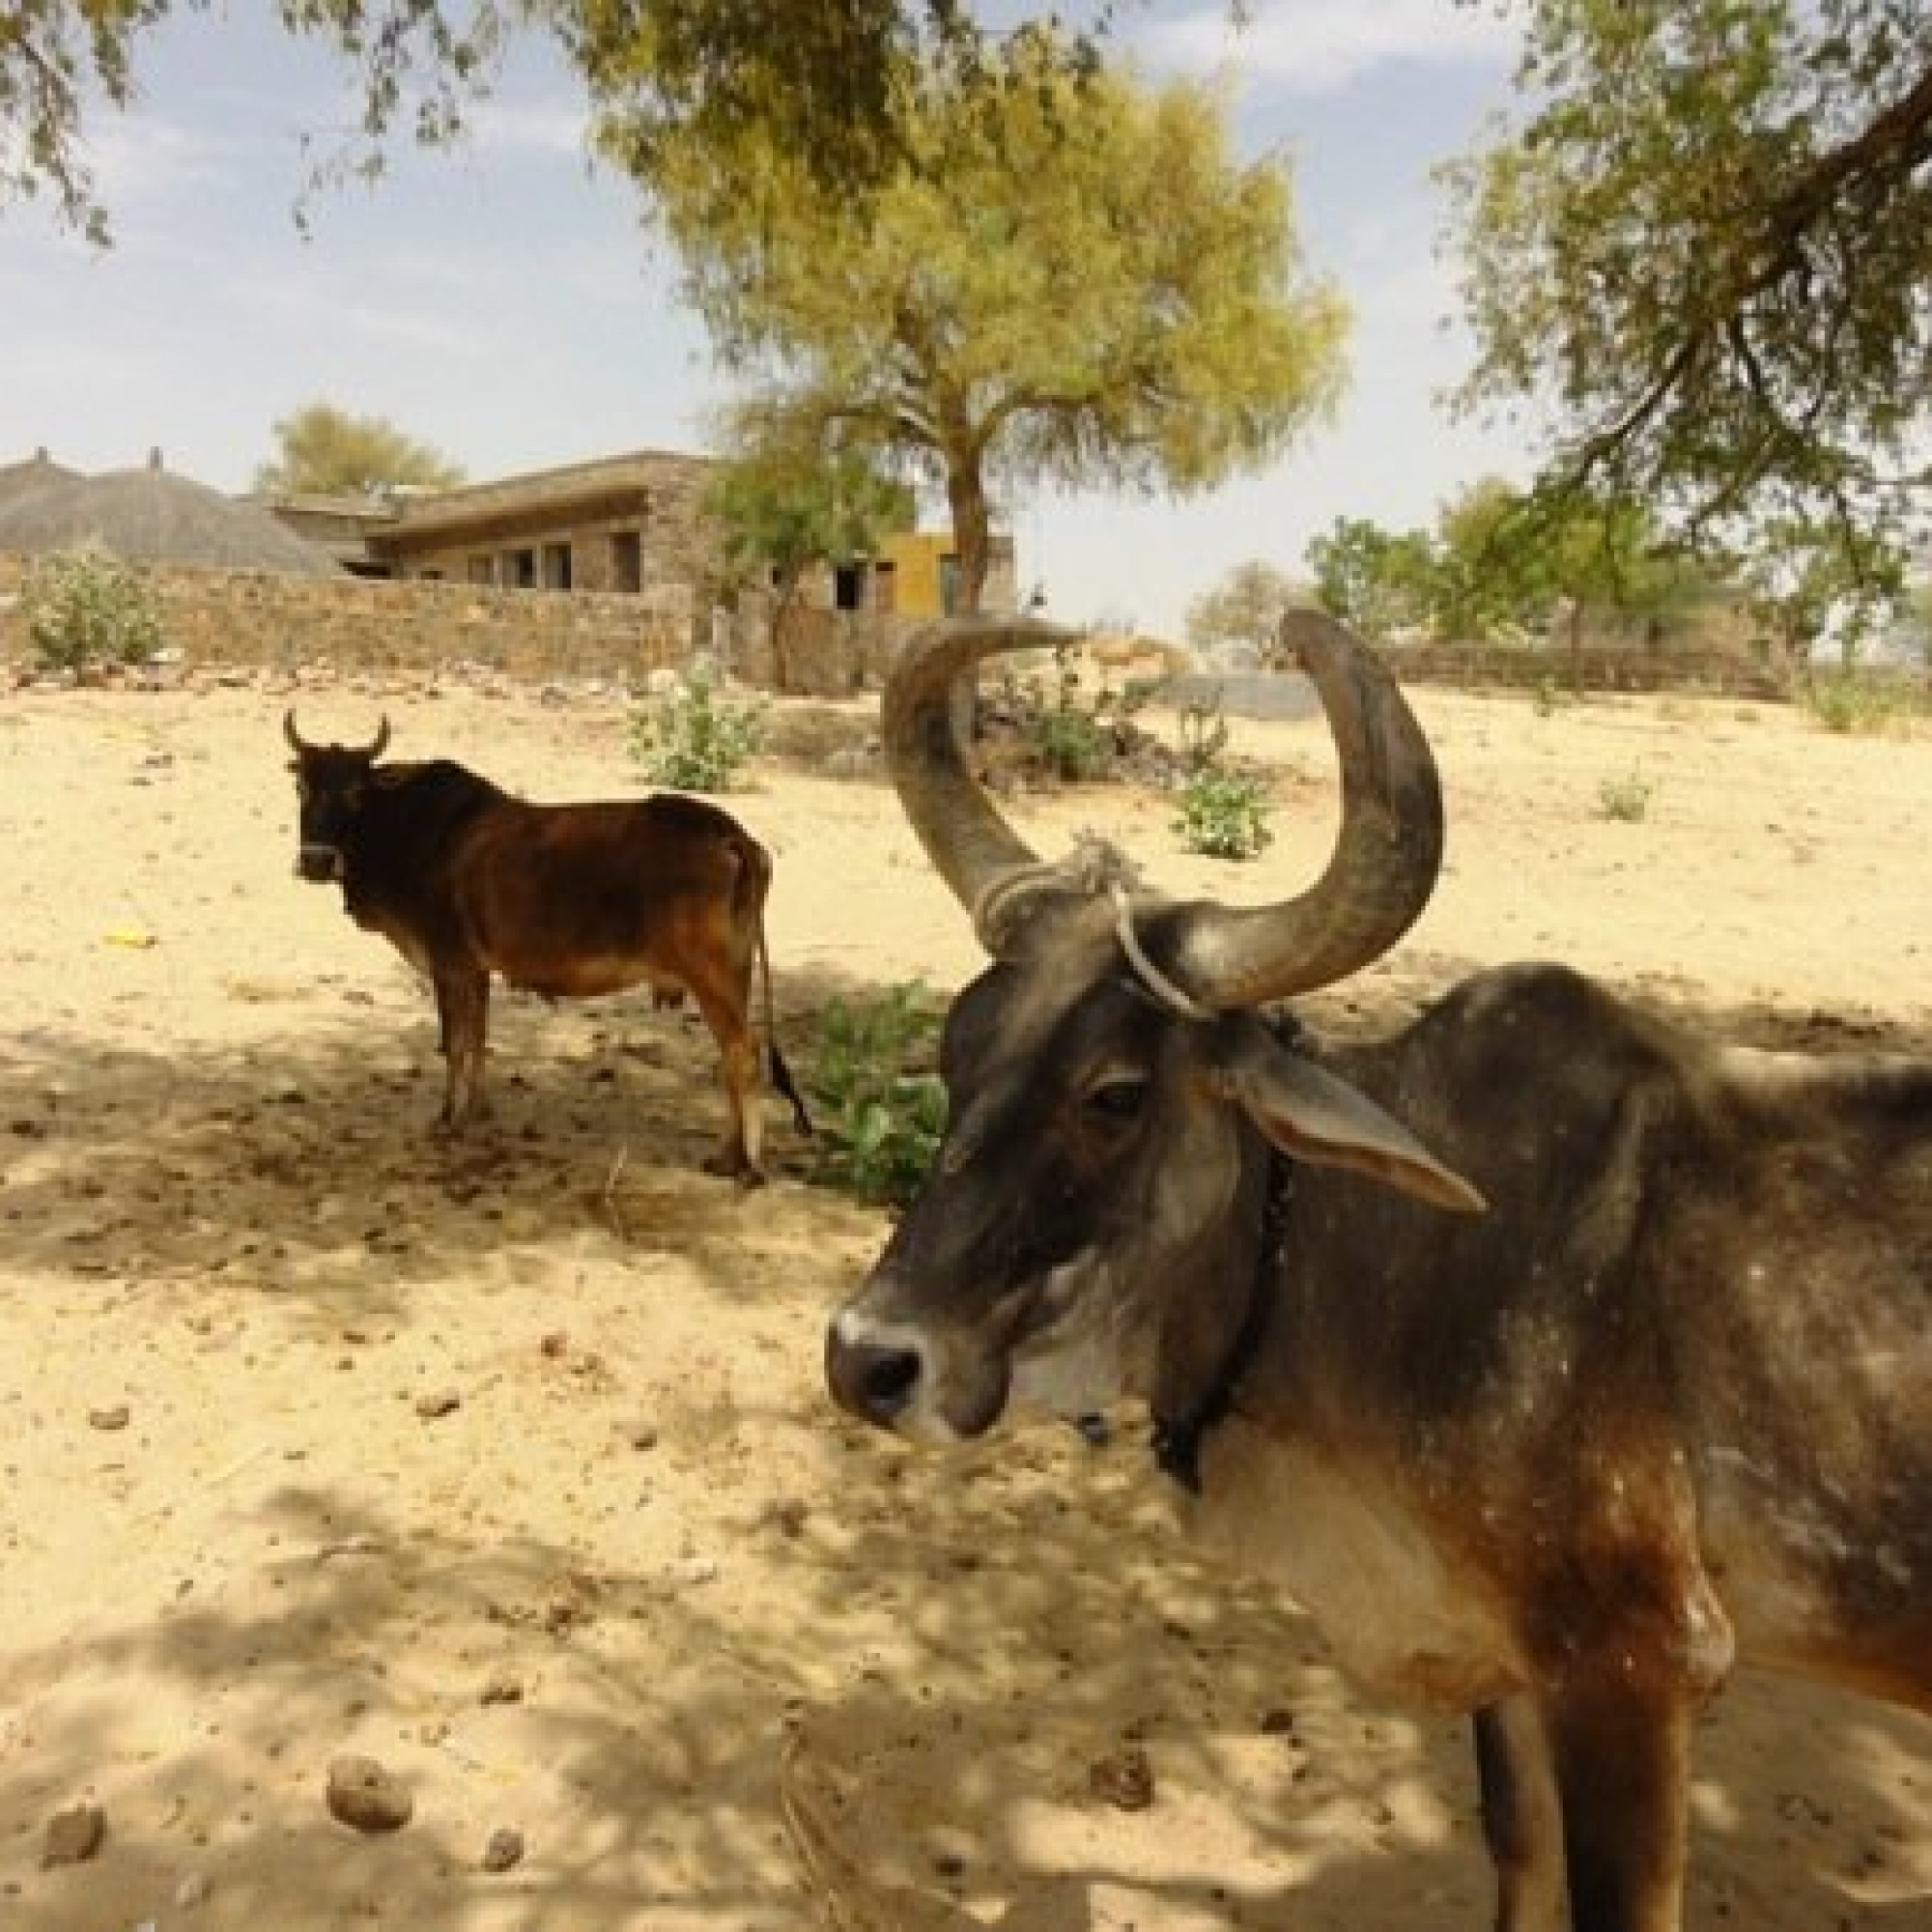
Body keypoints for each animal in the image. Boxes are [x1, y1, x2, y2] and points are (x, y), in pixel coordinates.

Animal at [284, 719, 808, 1182]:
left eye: (356, 791)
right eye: (303, 786)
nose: (316, 862)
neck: (415, 833)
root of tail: (727, 831)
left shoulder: (448, 962)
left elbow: (455, 1044)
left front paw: (449, 1118)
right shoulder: (476, 969)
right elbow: (477, 1039)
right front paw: (477, 1111)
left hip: (710, 976)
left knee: (743, 1054)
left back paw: (748, 1166)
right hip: (735, 973)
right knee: (731, 1057)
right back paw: (728, 1155)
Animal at [827, 614, 1932, 1932]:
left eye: (1114, 1093)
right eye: (957, 1047)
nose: (868, 1359)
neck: (1385, 1268)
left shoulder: (1636, 1661)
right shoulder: (1505, 1658)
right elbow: (1516, 1854)